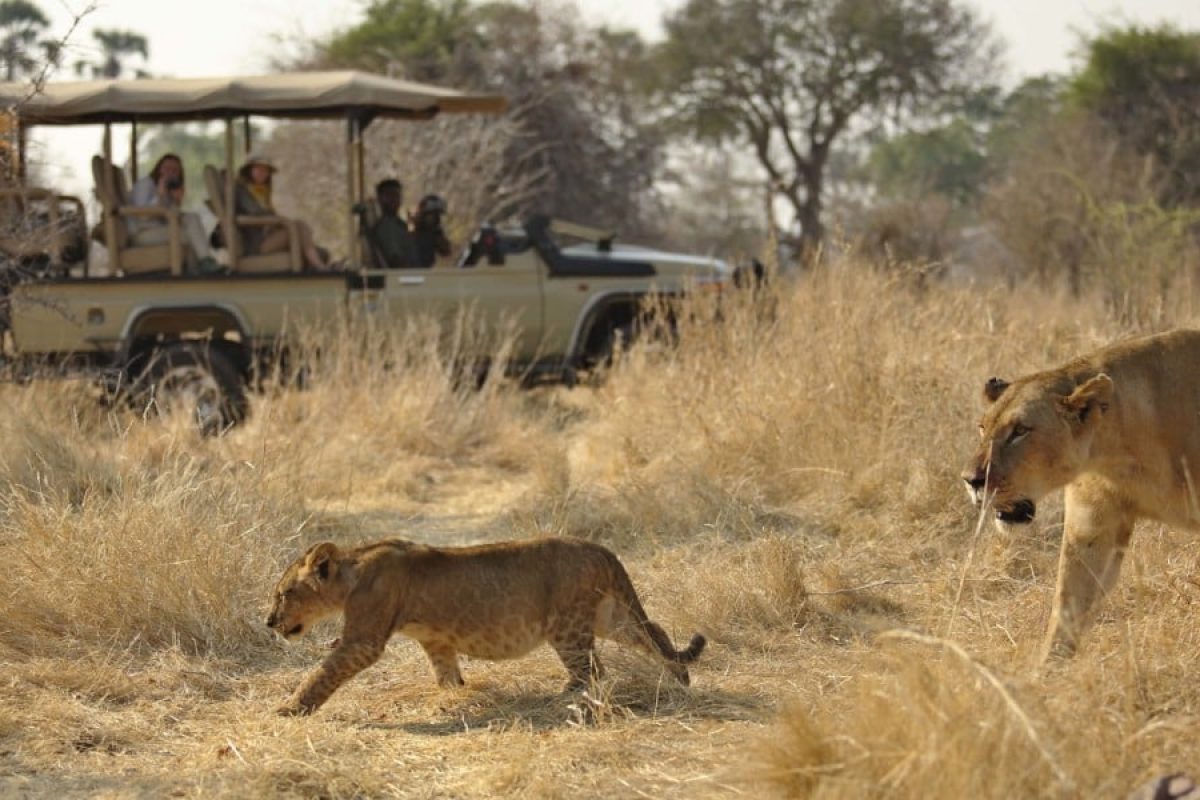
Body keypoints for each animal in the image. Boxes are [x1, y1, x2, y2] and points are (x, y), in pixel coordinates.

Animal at [266, 536, 706, 715]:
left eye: (283, 594)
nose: (269, 622)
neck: (351, 572)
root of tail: (601, 548)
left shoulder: (364, 640)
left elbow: (323, 673)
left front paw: (290, 708)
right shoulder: (436, 641)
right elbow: (446, 675)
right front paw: (453, 698)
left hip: (568, 627)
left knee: (593, 670)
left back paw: (562, 698)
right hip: (609, 617)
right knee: (655, 633)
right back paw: (679, 678)